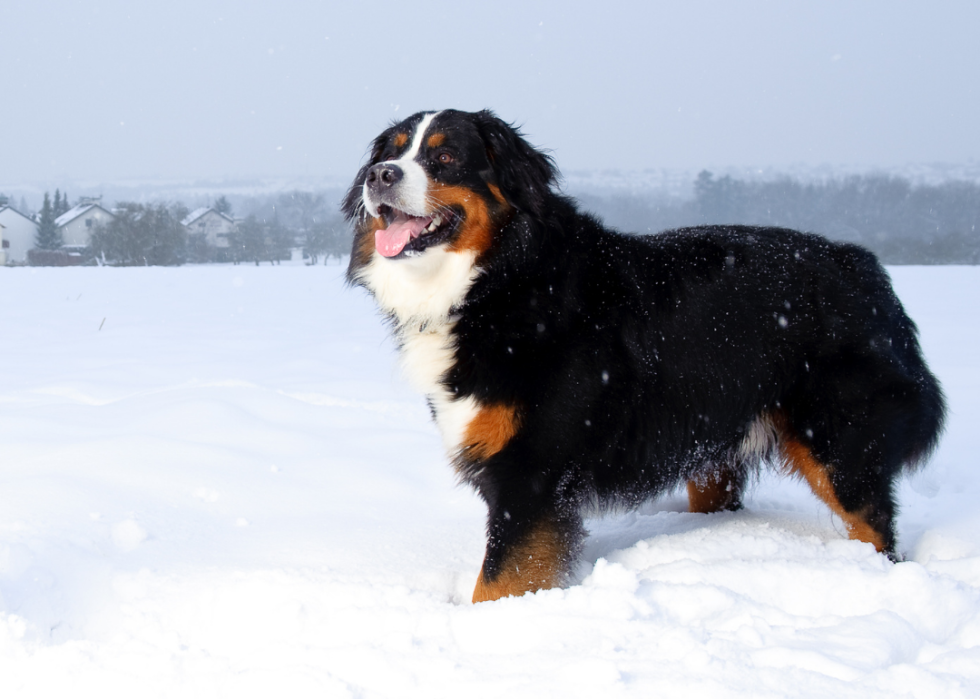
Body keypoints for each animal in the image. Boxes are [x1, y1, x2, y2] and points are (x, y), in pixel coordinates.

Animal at [342, 108, 940, 600]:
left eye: (445, 156)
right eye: (391, 151)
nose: (380, 176)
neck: (501, 283)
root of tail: (865, 267)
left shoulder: (531, 472)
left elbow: (498, 582)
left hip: (839, 441)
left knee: (874, 526)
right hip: (713, 447)